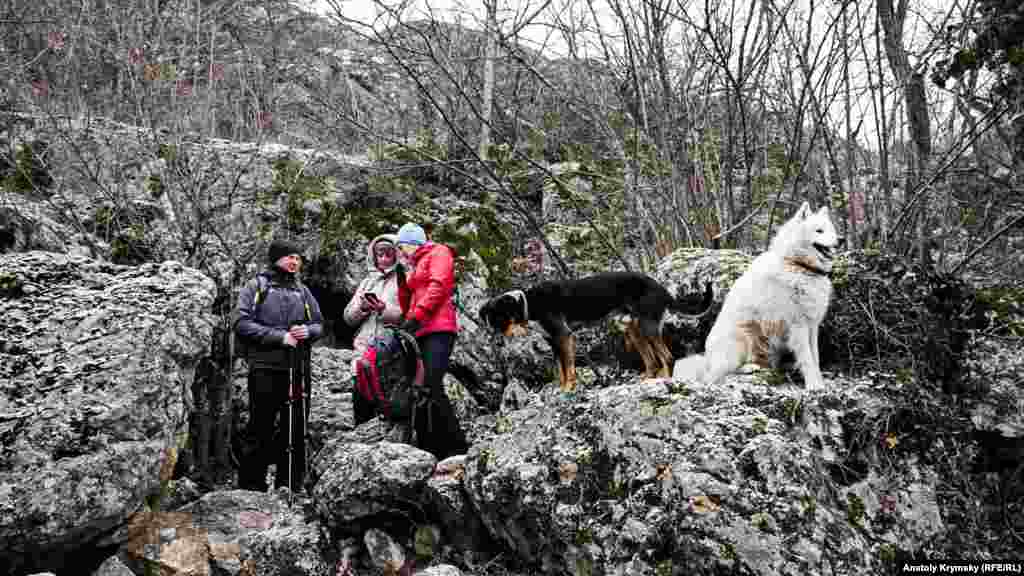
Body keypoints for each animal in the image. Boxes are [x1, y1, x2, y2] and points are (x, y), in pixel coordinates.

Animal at [479, 270, 712, 391]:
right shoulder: (553, 342)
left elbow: (568, 368)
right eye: (489, 320)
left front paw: (568, 389)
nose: (494, 342)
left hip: (647, 326)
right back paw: (647, 379)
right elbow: (560, 370)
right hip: (632, 329)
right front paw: (561, 388)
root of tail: (663, 290)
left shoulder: (564, 336)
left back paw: (665, 381)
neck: (531, 302)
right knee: (652, 361)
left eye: (499, 319)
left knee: (668, 357)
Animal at [671, 201, 839, 389]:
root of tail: (707, 359)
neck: (797, 265)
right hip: (743, 338)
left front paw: (820, 382)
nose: (841, 239)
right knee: (714, 377)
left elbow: (815, 358)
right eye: (819, 231)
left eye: (831, 230)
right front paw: (814, 386)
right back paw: (746, 369)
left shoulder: (812, 326)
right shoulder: (798, 326)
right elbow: (807, 359)